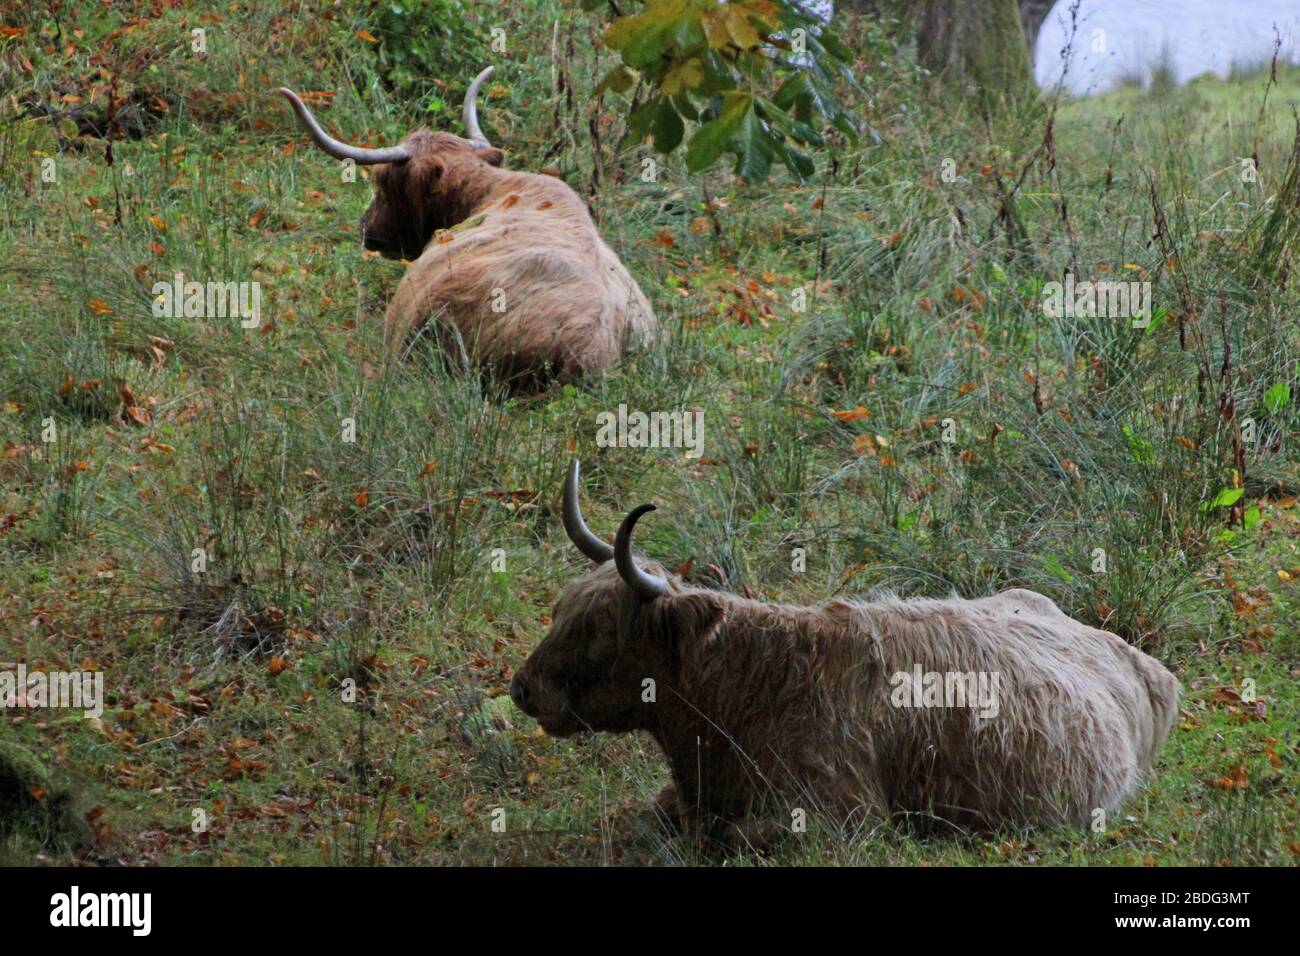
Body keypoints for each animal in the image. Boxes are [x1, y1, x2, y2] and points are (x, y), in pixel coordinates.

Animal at [512, 463, 1185, 842]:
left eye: (601, 628)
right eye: (560, 608)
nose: (523, 689)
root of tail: (1139, 660)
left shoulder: (836, 816)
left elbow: (735, 838)